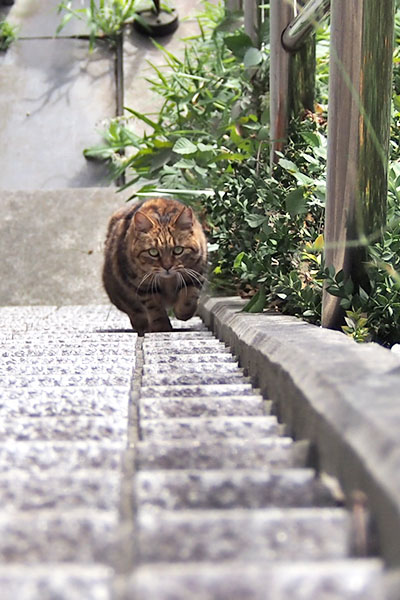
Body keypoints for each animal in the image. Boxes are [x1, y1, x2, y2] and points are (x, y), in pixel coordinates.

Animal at [101, 198, 208, 336]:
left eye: (178, 250)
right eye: (153, 252)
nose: (167, 267)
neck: (168, 281)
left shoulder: (195, 274)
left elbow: (188, 299)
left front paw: (182, 313)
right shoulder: (142, 285)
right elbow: (154, 308)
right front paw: (161, 326)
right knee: (134, 312)